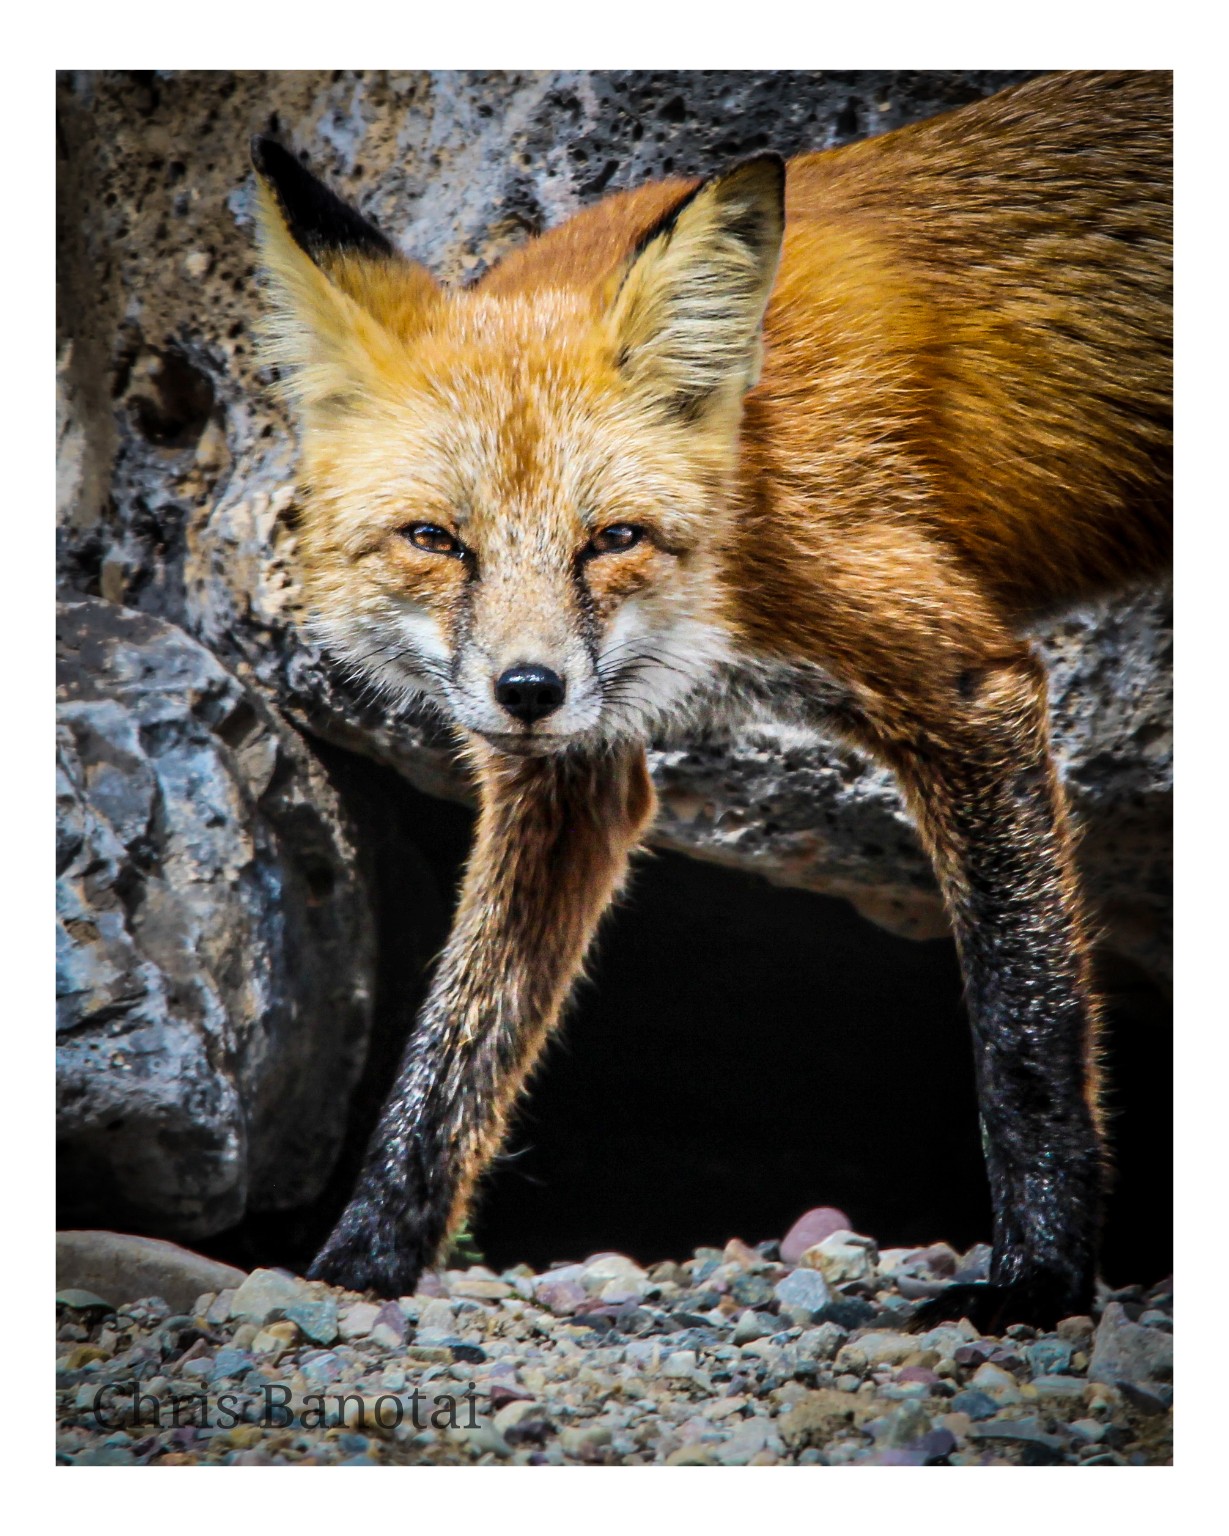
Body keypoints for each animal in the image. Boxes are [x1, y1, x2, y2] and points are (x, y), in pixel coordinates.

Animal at [247, 70, 1171, 1328]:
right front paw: (358, 1266)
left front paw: (1038, 1280)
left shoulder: (964, 682)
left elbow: (1021, 1027)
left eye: (612, 539)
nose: (527, 689)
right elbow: (453, 1050)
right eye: (435, 540)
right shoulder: (567, 782)